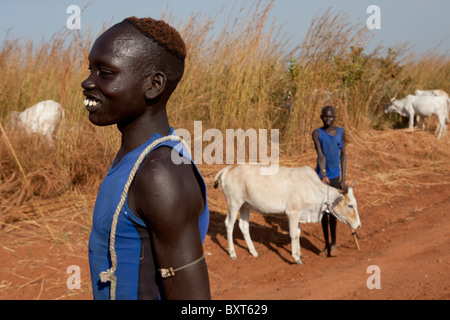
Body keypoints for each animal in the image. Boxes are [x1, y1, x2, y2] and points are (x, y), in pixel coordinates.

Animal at [213, 164, 360, 264]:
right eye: (350, 205)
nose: (358, 225)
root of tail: (228, 169)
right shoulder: (292, 213)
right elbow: (293, 234)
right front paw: (296, 258)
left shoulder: (300, 215)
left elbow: (298, 234)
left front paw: (299, 254)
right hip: (234, 204)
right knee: (229, 225)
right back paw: (232, 254)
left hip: (245, 206)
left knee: (243, 226)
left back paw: (253, 252)